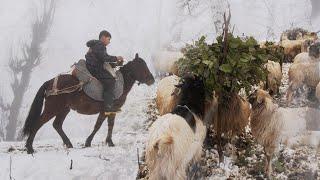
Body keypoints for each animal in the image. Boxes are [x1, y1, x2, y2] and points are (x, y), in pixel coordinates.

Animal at [22, 53, 155, 153]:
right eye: (141, 66)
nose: (151, 80)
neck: (120, 83)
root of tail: (50, 82)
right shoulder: (106, 110)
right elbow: (98, 126)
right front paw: (89, 142)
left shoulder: (111, 111)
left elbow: (110, 125)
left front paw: (109, 142)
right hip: (52, 108)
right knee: (38, 123)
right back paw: (29, 148)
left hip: (63, 109)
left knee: (57, 125)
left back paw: (68, 144)